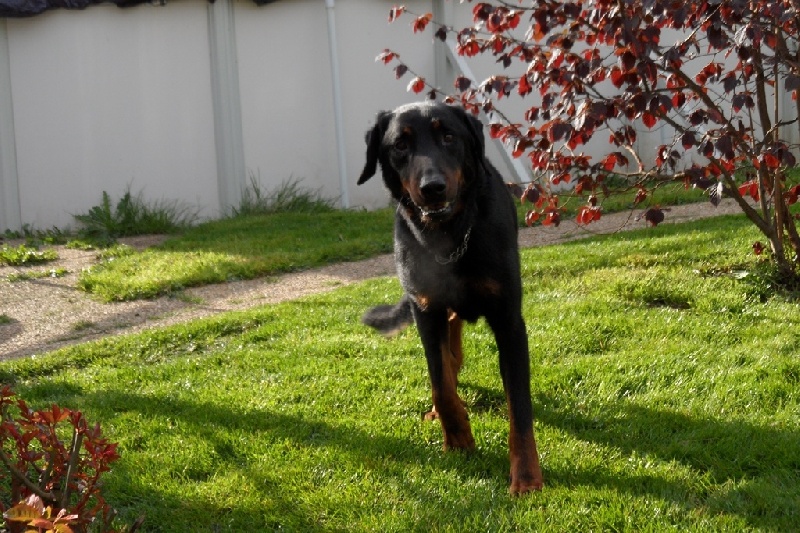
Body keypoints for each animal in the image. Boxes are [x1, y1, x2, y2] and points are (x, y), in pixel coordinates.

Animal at [357, 101, 543, 494]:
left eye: (448, 137)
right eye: (400, 145)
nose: (433, 188)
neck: (449, 236)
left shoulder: (508, 321)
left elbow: (520, 407)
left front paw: (526, 476)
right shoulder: (426, 309)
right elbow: (439, 383)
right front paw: (457, 437)